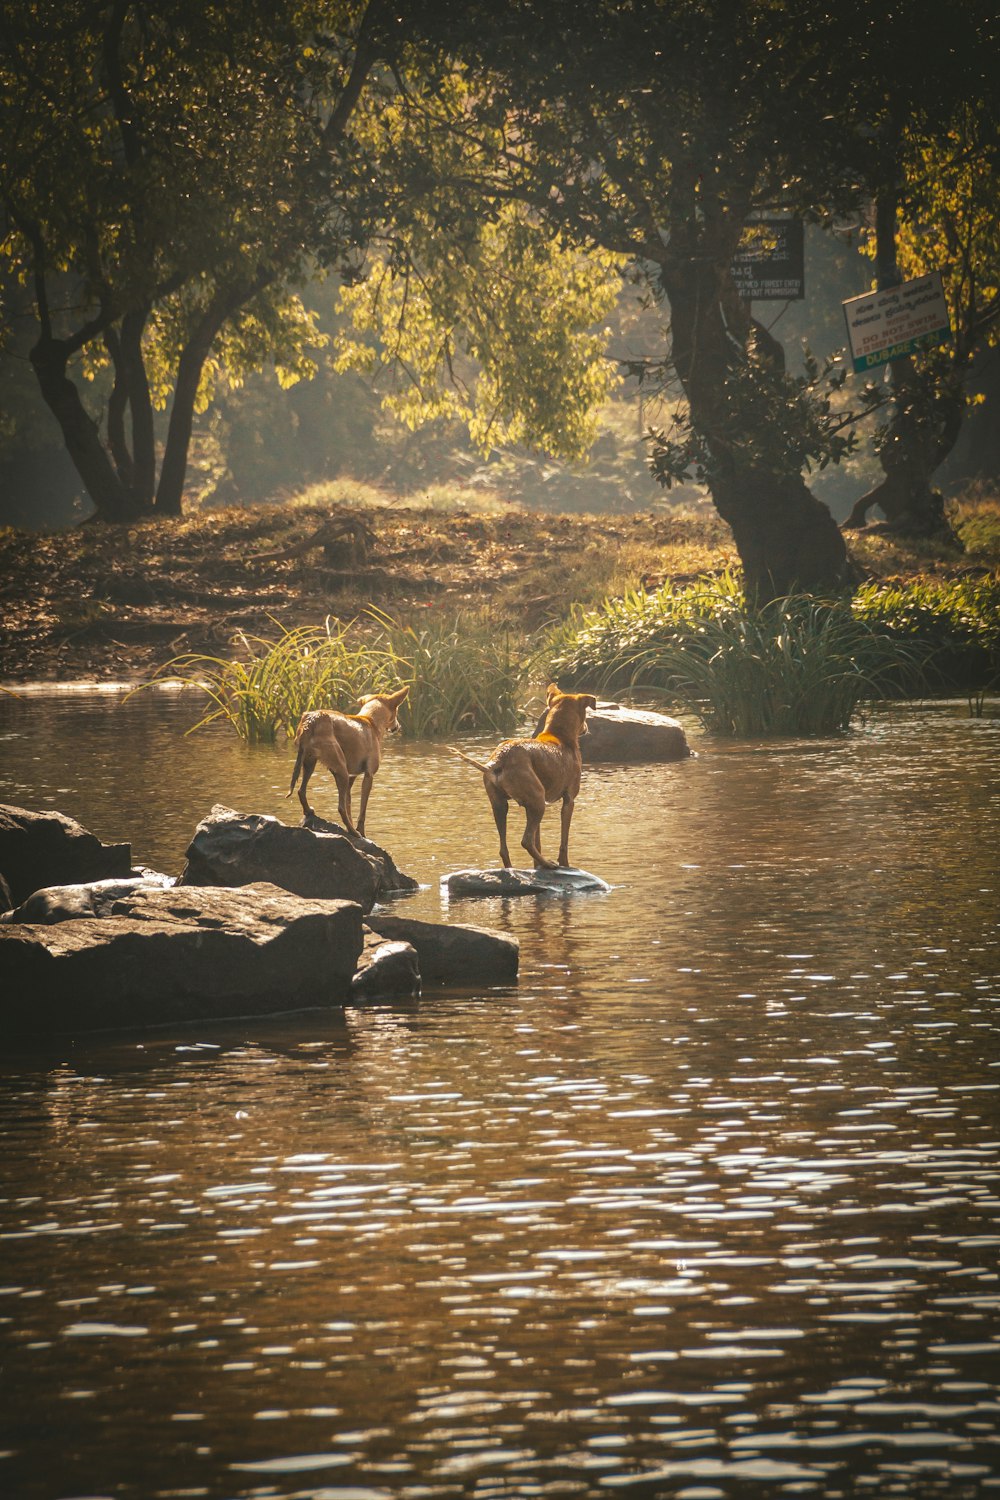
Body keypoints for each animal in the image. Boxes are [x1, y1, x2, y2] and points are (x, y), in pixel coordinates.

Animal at [289, 687, 410, 840]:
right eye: (397, 711)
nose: (398, 726)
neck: (370, 720)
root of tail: (312, 719)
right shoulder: (368, 775)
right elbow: (361, 811)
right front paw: (361, 832)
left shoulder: (352, 777)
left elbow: (349, 807)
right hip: (340, 770)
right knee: (340, 807)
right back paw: (354, 833)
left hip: (310, 763)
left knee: (301, 791)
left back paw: (309, 811)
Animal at [449, 684, 599, 870]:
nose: (586, 728)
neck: (559, 736)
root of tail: (500, 757)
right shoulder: (569, 800)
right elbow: (563, 841)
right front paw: (564, 864)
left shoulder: (536, 806)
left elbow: (538, 841)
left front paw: (537, 866)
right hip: (537, 801)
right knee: (526, 841)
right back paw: (549, 864)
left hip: (502, 805)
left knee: (504, 848)